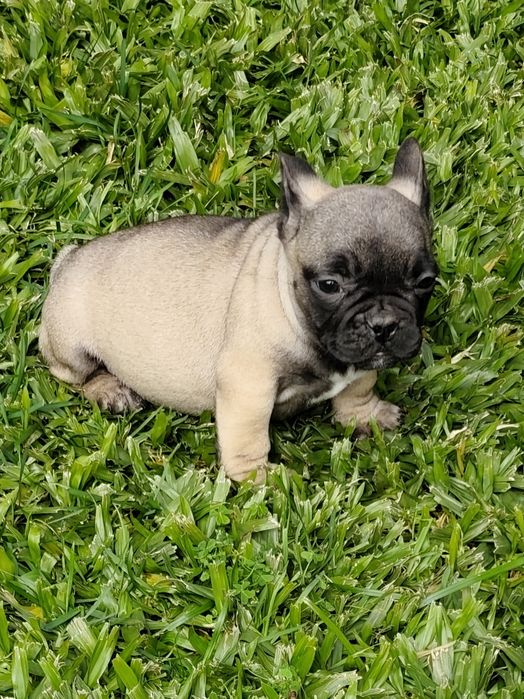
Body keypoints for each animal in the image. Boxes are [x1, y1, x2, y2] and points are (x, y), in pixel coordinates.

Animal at [39, 138, 437, 481]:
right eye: (329, 285)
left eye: (426, 282)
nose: (383, 324)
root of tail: (68, 259)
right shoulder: (248, 385)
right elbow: (249, 434)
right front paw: (257, 478)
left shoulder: (362, 362)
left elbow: (358, 389)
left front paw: (365, 415)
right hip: (70, 342)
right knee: (76, 375)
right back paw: (110, 390)